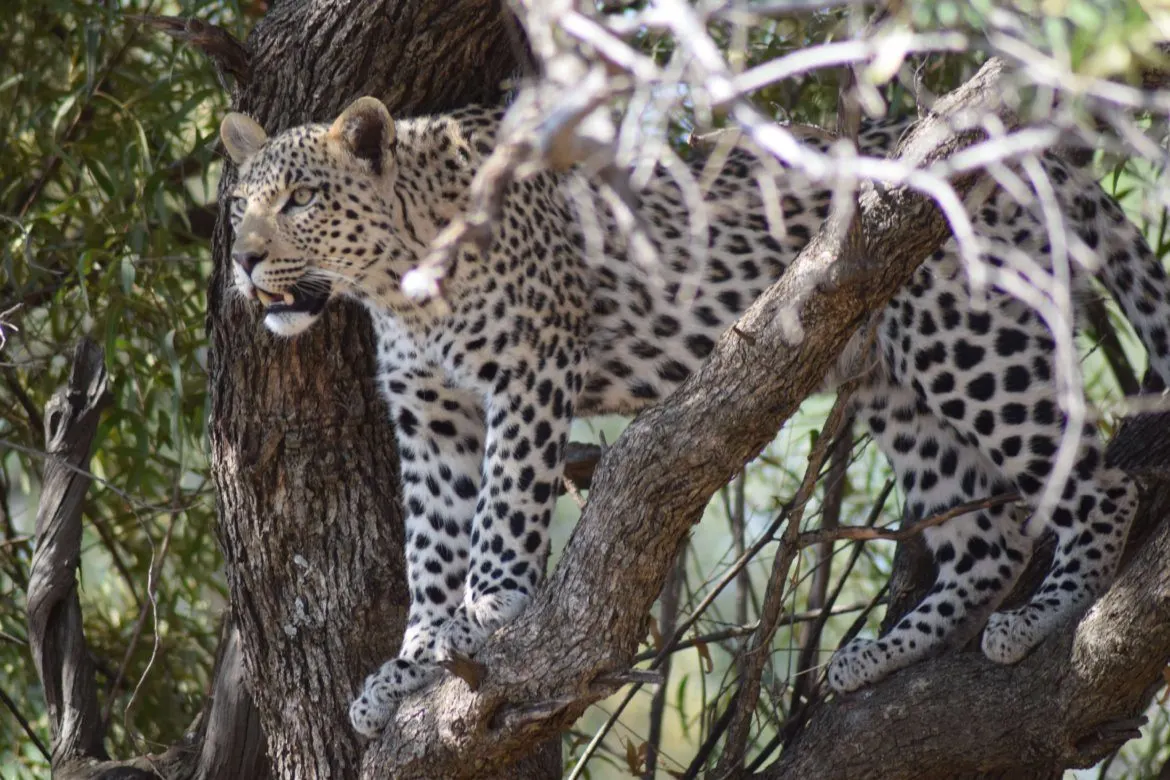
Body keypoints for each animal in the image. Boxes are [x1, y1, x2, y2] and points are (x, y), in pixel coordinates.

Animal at [219, 94, 1170, 734]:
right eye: (238, 206)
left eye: (301, 200)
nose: (243, 259)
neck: (396, 283)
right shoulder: (429, 412)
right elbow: (430, 541)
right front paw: (413, 660)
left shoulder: (531, 365)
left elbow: (504, 507)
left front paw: (488, 612)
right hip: (895, 386)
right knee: (987, 538)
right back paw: (873, 656)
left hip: (971, 348)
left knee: (1099, 487)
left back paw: (1047, 616)